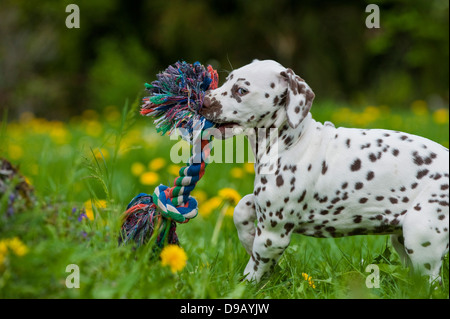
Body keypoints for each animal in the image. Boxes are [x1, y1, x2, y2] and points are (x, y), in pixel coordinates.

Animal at [200, 59, 450, 282]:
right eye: (226, 80)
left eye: (241, 90)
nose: (202, 101)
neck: (292, 141)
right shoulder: (265, 208)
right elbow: (241, 208)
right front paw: (247, 238)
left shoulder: (274, 234)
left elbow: (254, 269)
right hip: (401, 239)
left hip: (420, 233)